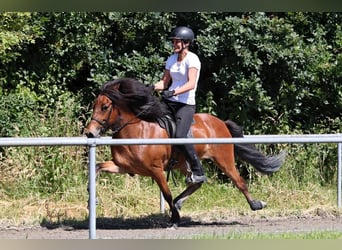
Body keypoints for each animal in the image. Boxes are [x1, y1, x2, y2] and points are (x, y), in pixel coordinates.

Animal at [84, 77, 284, 227]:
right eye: (94, 105)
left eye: (105, 107)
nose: (90, 133)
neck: (136, 131)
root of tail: (220, 122)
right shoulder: (123, 166)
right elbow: (98, 167)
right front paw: (91, 199)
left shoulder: (156, 170)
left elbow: (166, 193)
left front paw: (174, 220)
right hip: (185, 164)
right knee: (197, 182)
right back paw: (180, 202)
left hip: (223, 159)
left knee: (239, 181)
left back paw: (256, 204)